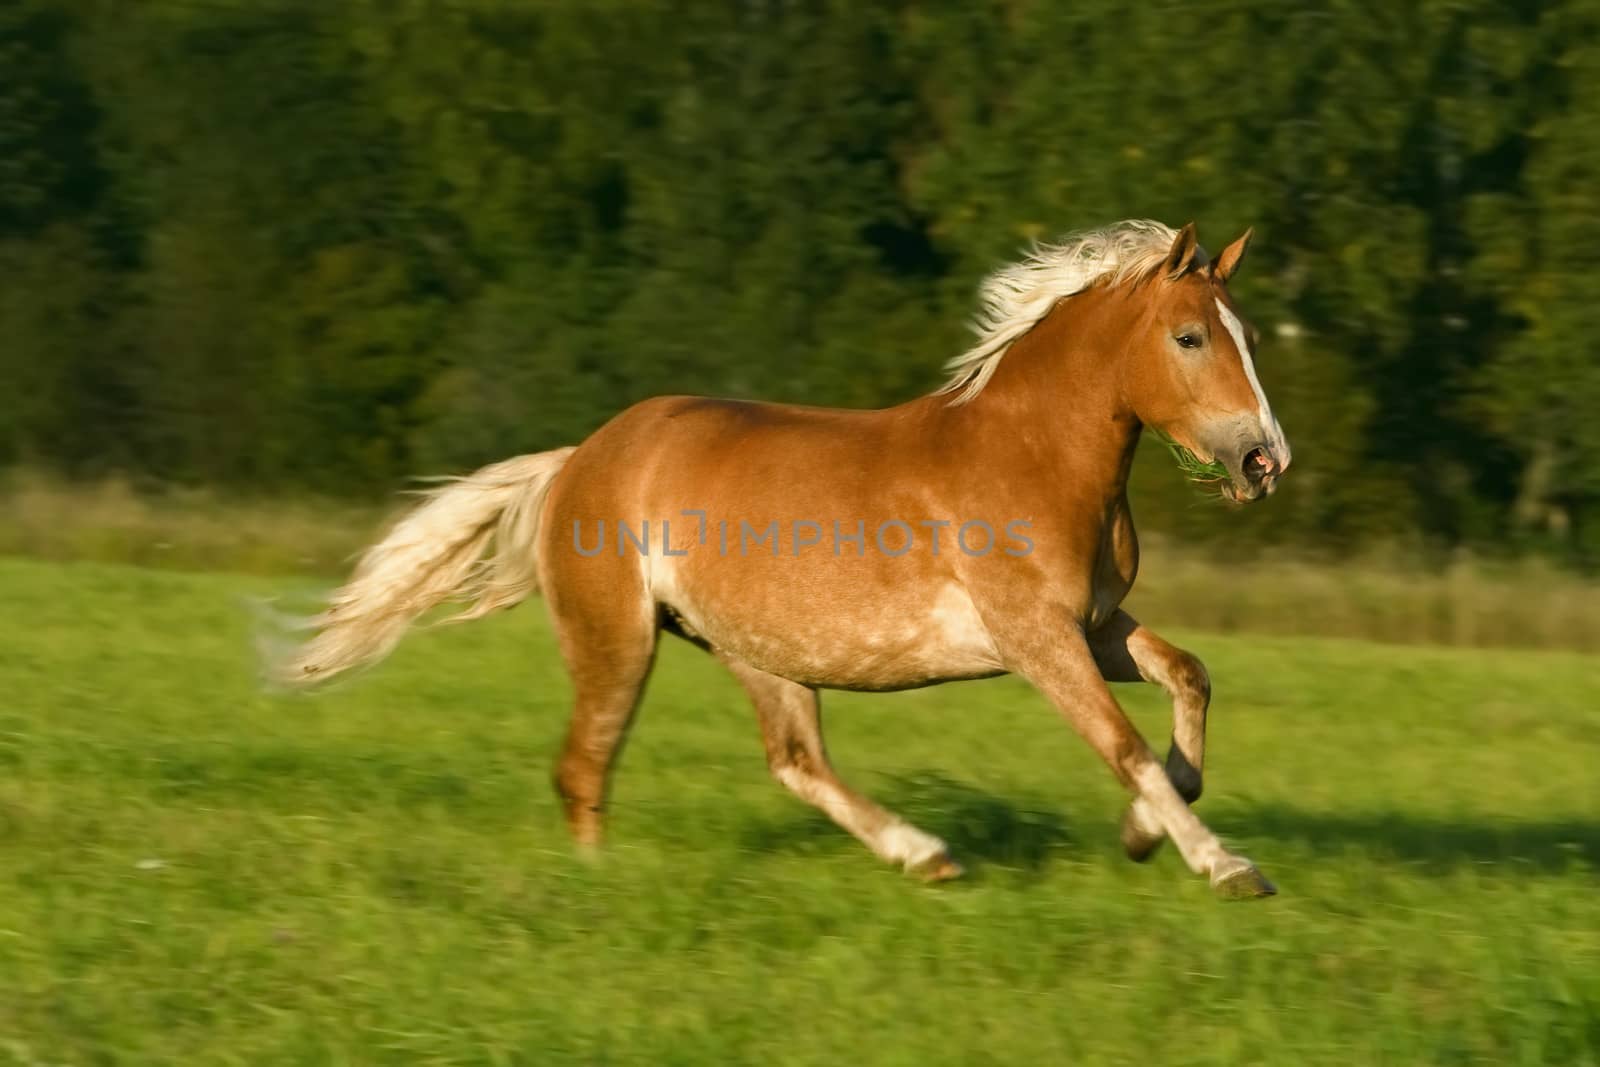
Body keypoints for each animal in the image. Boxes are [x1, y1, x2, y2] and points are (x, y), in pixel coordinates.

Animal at [281, 220, 1292, 895]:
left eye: (1246, 334)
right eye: (1190, 336)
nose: (1264, 459)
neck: (1031, 456)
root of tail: (578, 459)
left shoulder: (1093, 624)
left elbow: (1189, 678)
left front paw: (1144, 831)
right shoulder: (1037, 639)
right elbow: (1123, 745)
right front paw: (1225, 863)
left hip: (756, 650)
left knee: (794, 760)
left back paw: (927, 855)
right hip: (618, 643)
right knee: (586, 765)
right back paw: (600, 886)